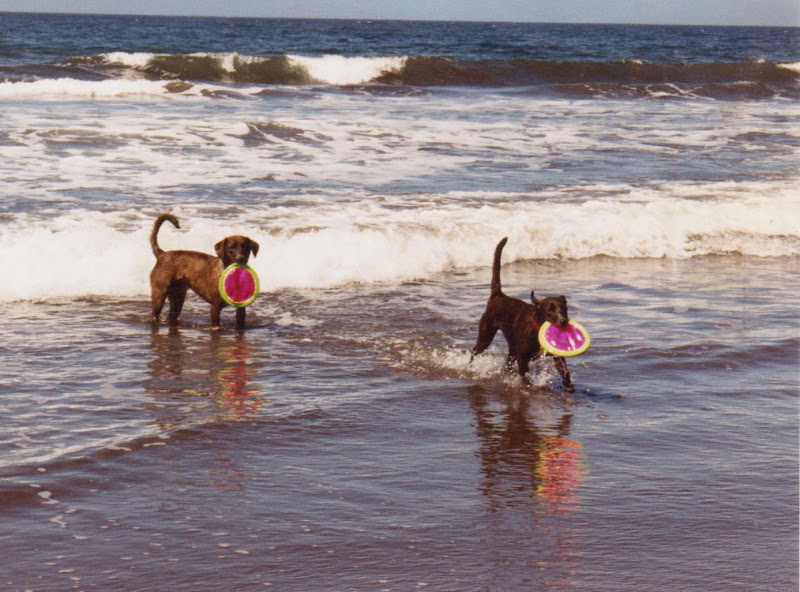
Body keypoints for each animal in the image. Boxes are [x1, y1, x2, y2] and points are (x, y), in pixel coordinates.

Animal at [471, 237, 575, 392]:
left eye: (563, 309)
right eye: (549, 310)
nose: (563, 321)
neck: (537, 329)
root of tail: (498, 296)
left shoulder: (556, 355)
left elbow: (564, 368)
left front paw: (568, 384)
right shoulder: (523, 357)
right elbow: (525, 375)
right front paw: (528, 386)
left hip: (512, 347)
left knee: (507, 364)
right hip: (486, 334)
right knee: (475, 351)